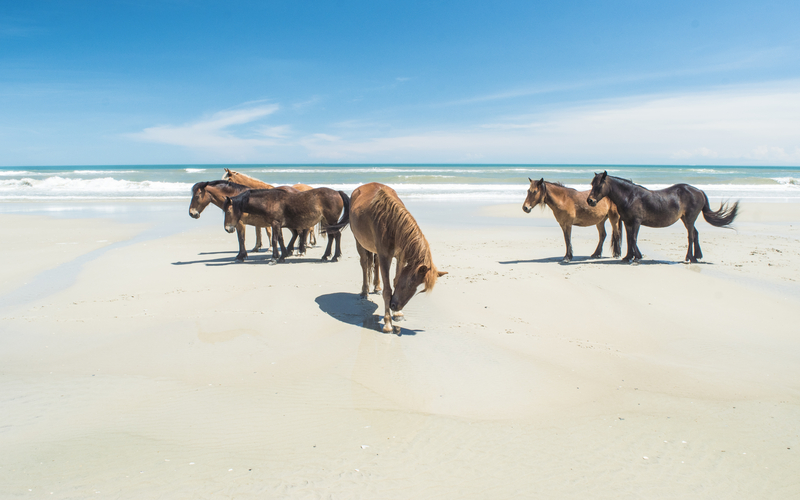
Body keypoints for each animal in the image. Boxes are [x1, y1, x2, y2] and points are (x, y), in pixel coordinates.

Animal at [223, 188, 352, 264]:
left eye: (228, 211)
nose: (227, 229)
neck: (270, 201)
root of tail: (337, 192)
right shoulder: (278, 224)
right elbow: (281, 240)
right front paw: (282, 256)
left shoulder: (275, 223)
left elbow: (275, 240)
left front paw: (274, 257)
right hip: (327, 222)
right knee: (331, 237)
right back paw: (325, 256)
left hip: (331, 221)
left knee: (337, 235)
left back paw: (335, 257)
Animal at [352, 182, 446, 334]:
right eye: (411, 283)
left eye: (418, 285)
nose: (394, 305)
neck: (390, 223)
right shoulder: (386, 257)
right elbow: (388, 290)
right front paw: (387, 323)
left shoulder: (401, 257)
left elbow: (395, 281)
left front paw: (397, 314)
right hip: (359, 242)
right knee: (364, 264)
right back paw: (364, 291)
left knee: (375, 263)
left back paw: (376, 287)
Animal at [584, 172, 740, 264]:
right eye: (592, 184)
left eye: (599, 184)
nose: (590, 201)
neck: (630, 196)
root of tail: (698, 191)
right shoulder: (628, 222)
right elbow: (629, 239)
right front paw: (628, 257)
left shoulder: (636, 222)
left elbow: (633, 238)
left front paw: (637, 257)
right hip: (685, 219)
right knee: (695, 234)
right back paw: (696, 257)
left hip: (689, 219)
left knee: (690, 236)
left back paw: (689, 258)